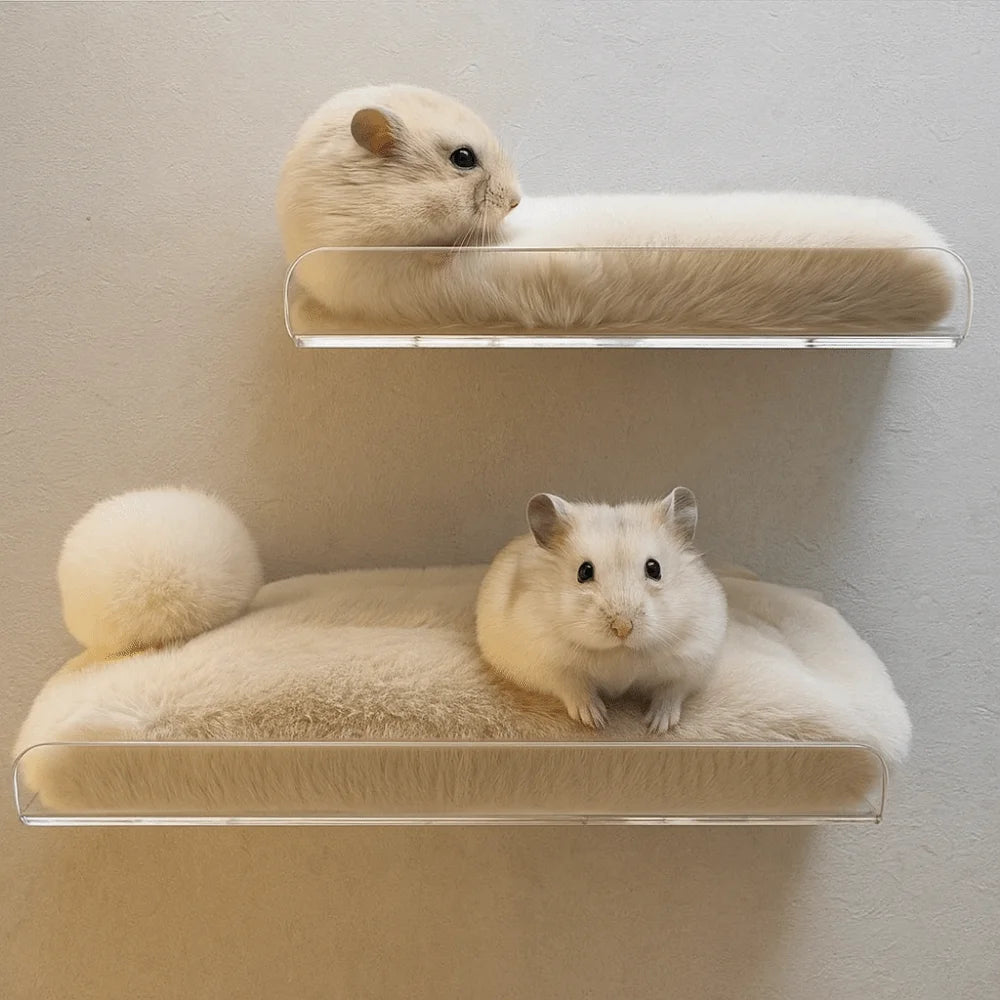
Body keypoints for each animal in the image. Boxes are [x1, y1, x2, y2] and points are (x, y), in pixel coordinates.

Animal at [475, 489, 727, 733]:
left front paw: (657, 726)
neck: (619, 652)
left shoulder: (691, 660)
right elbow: (574, 687)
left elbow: (671, 692)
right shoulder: (547, 661)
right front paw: (595, 720)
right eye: (584, 571)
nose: (623, 628)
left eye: (654, 568)